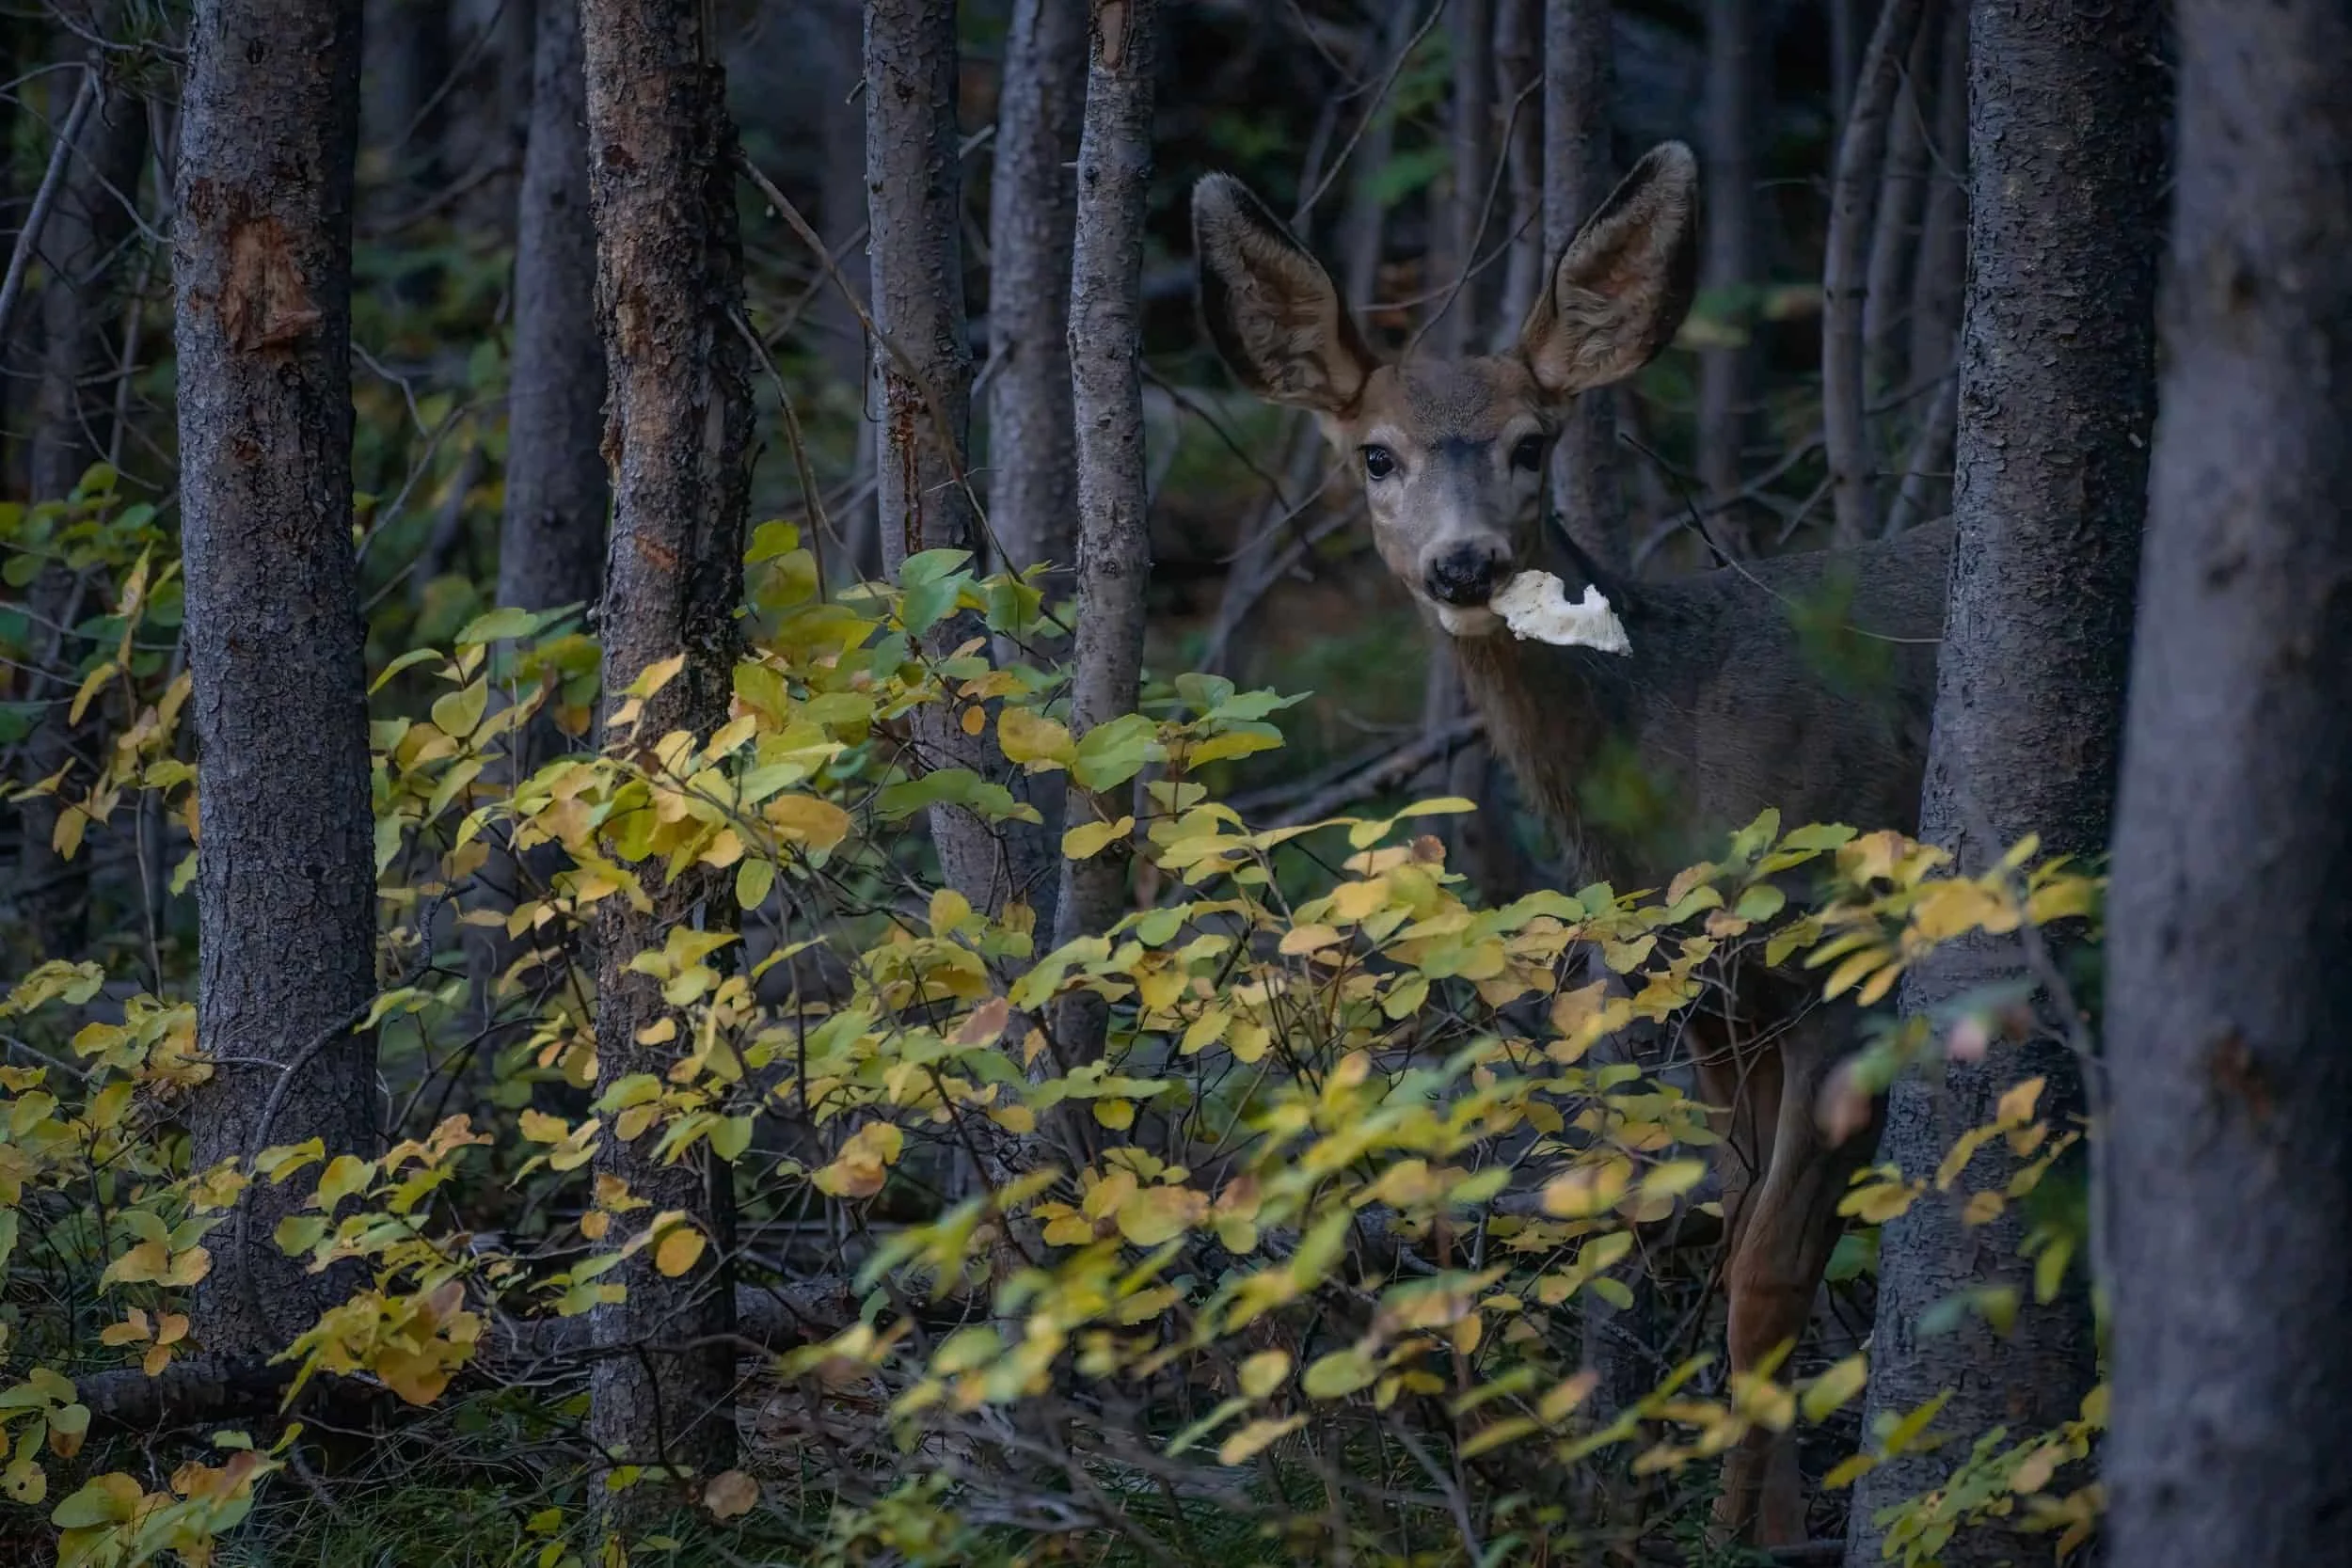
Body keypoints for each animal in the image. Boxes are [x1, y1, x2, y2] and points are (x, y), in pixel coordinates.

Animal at [1190, 141, 1953, 1545]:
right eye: (1375, 455)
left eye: (1530, 443)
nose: (1464, 559)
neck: (1672, 759)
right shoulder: (1714, 1005)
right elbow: (1745, 1241)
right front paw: (1749, 1518)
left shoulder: (1847, 962)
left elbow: (1768, 1271)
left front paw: (1750, 1537)